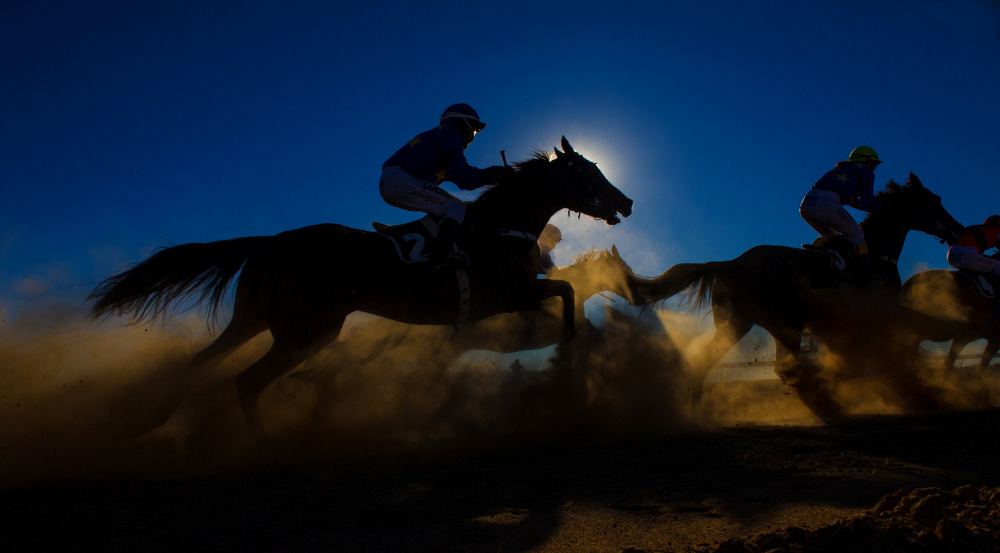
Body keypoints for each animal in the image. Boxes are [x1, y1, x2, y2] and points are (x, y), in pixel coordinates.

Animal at [90, 136, 628, 438]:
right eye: (587, 170)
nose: (626, 201)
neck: (501, 224)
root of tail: (269, 242)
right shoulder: (505, 297)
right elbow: (566, 291)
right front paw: (570, 347)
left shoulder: (512, 298)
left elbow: (565, 292)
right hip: (306, 331)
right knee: (246, 380)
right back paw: (264, 446)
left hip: (256, 318)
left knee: (202, 360)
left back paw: (151, 420)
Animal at [628, 172, 964, 418]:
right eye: (932, 200)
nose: (958, 229)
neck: (877, 250)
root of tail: (729, 263)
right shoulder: (874, 312)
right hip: (779, 325)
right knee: (783, 368)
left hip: (743, 324)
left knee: (707, 360)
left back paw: (697, 410)